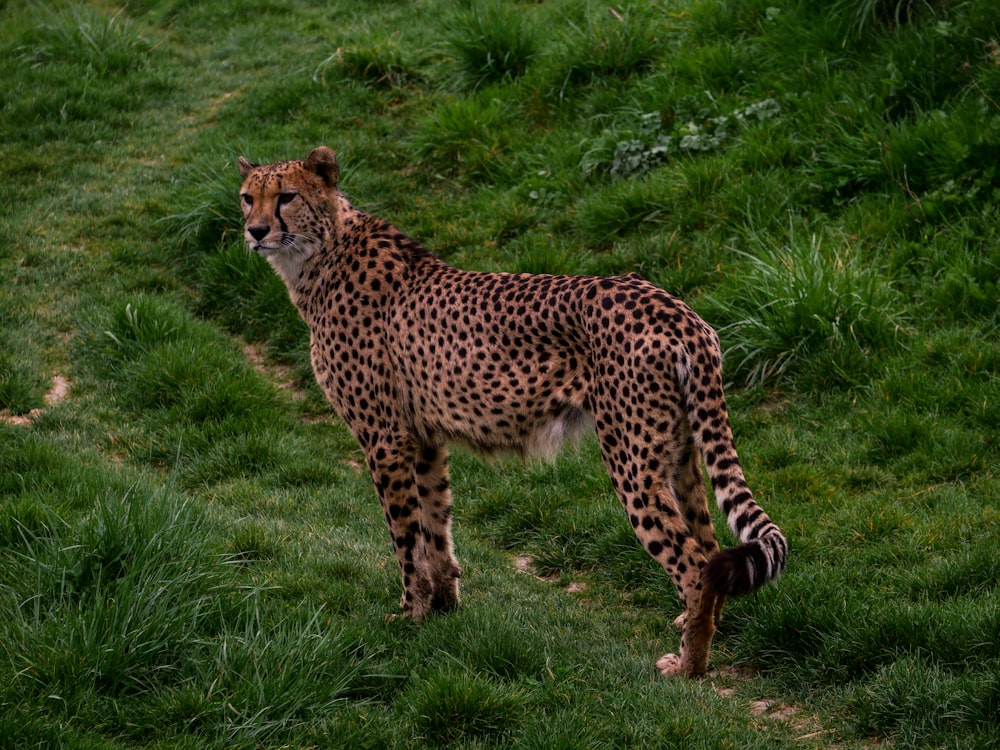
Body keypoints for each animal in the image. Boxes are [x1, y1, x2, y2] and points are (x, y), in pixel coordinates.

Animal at [238, 148, 784, 680]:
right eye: (247, 197)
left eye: (286, 196)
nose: (256, 231)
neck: (320, 253)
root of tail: (678, 310)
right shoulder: (425, 438)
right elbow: (436, 525)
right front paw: (444, 607)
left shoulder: (385, 438)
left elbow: (405, 537)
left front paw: (410, 615)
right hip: (681, 454)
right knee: (710, 550)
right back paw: (694, 630)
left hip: (633, 464)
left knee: (693, 564)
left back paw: (688, 667)